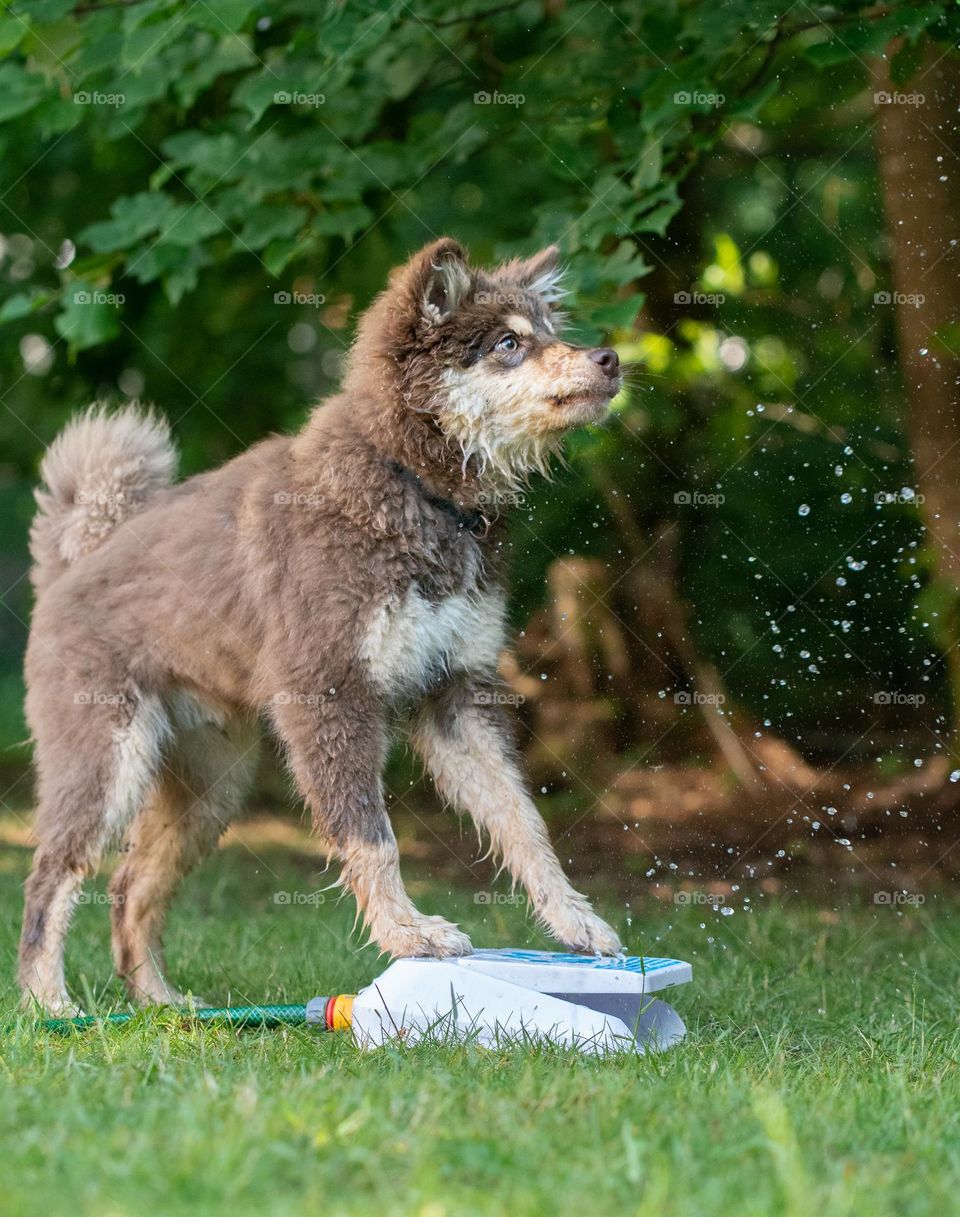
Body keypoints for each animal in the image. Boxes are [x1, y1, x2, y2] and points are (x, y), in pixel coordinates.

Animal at [22, 239, 627, 1017]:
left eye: (550, 331)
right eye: (508, 344)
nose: (610, 357)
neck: (414, 484)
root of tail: (71, 564)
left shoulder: (456, 693)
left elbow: (524, 822)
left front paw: (575, 921)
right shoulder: (332, 694)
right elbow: (373, 836)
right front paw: (409, 933)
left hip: (211, 787)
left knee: (131, 887)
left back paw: (163, 1004)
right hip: (106, 762)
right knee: (50, 878)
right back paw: (50, 1005)